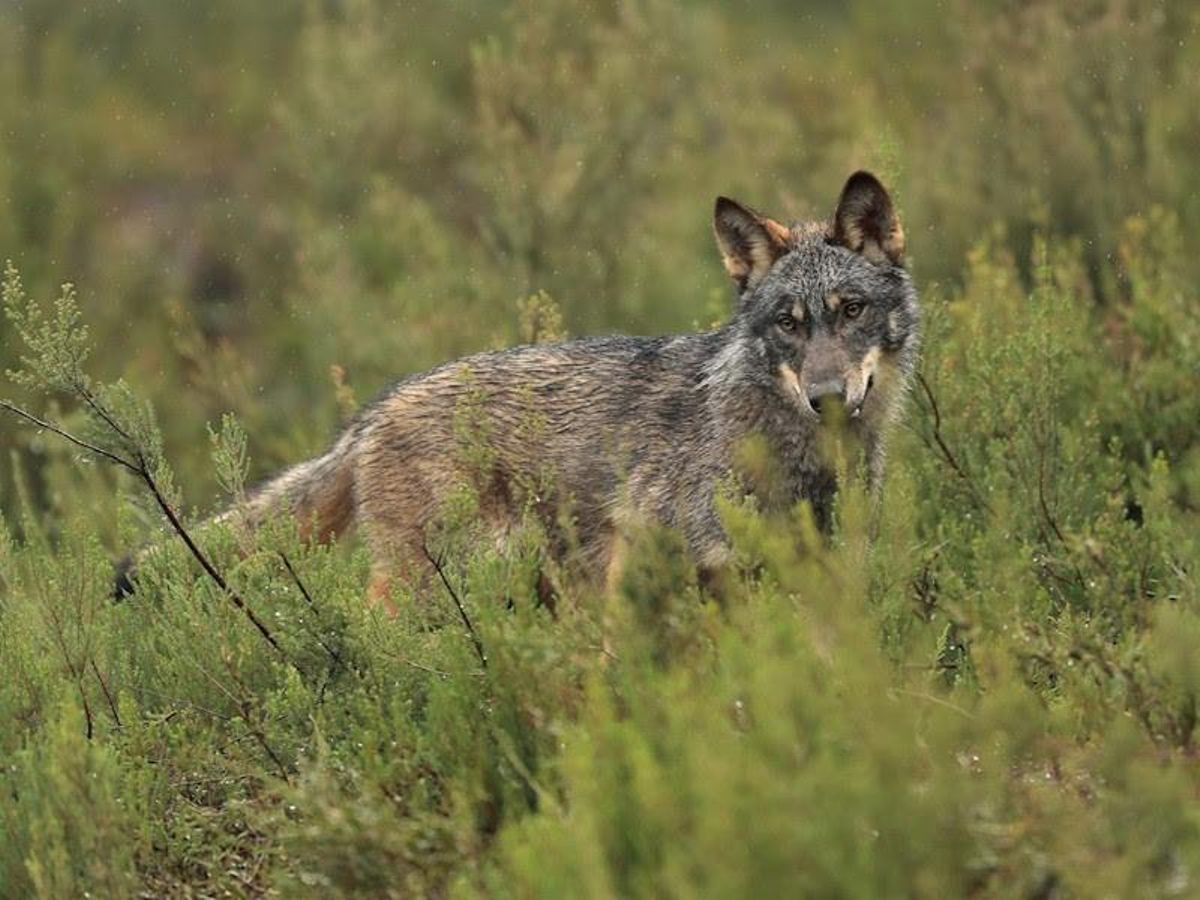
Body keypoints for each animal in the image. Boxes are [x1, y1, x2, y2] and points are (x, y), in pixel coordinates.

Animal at [118, 172, 919, 603]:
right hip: (436, 580)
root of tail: (370, 414)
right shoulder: (655, 561)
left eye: (850, 311)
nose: (826, 398)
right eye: (788, 323)